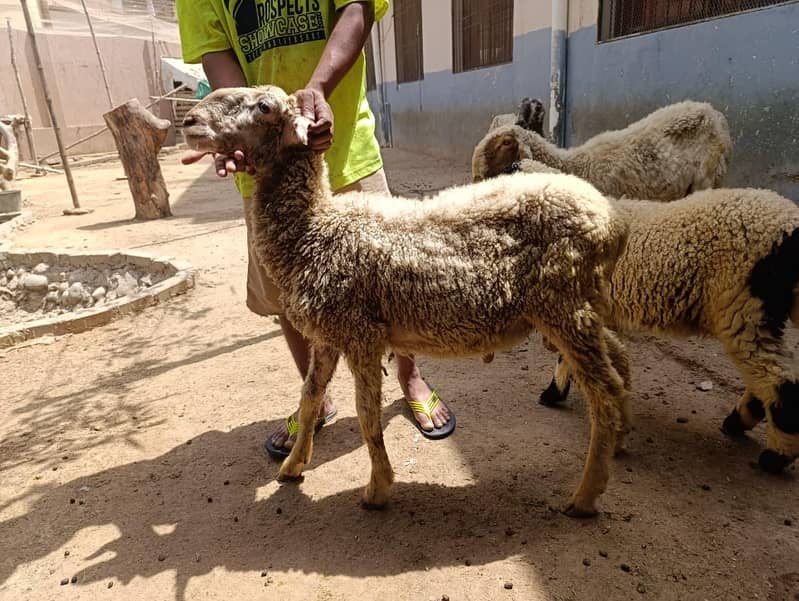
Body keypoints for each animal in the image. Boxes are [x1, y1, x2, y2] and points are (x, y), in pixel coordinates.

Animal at [182, 85, 633, 517]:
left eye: (262, 107)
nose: (189, 120)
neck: (315, 227)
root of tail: (613, 222)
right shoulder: (327, 335)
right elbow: (309, 399)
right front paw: (293, 464)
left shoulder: (361, 334)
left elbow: (367, 414)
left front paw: (378, 488)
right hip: (577, 308)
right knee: (618, 363)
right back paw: (619, 443)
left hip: (564, 305)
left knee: (605, 391)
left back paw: (586, 495)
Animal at [484, 159, 799, 473]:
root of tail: (790, 227)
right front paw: (558, 392)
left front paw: (553, 394)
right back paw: (737, 423)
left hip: (744, 308)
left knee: (781, 380)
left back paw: (774, 457)